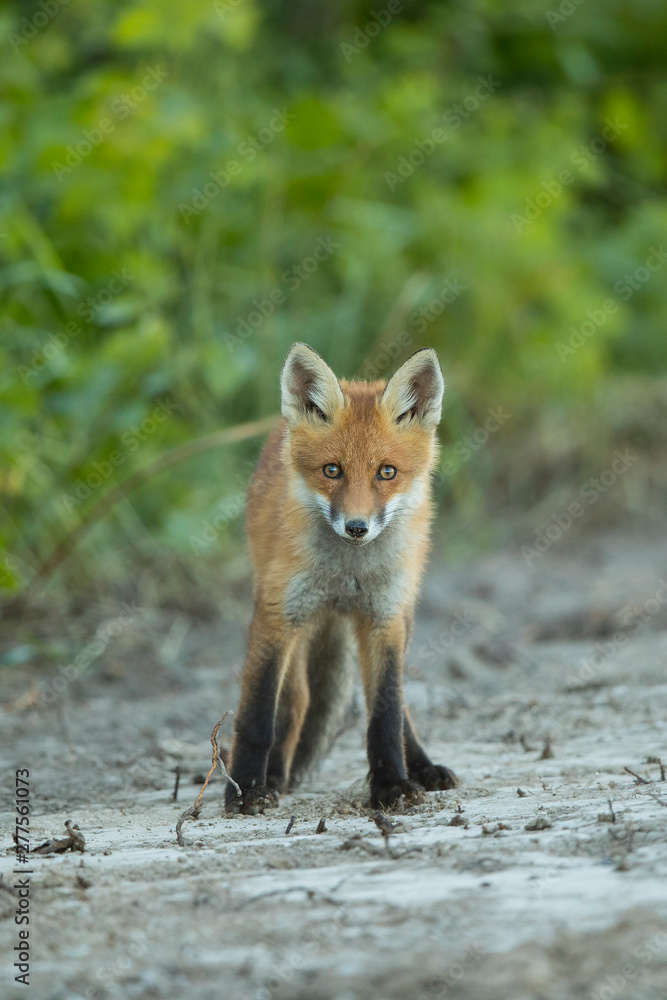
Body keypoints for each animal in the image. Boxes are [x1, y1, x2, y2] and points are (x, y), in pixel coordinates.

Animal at [227, 344, 456, 812]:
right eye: (332, 470)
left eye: (387, 472)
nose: (356, 527)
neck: (345, 578)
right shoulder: (278, 613)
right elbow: (258, 715)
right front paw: (245, 789)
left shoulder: (383, 620)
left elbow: (386, 715)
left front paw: (391, 785)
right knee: (296, 700)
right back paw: (275, 774)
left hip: (400, 616)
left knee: (397, 707)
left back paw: (422, 767)